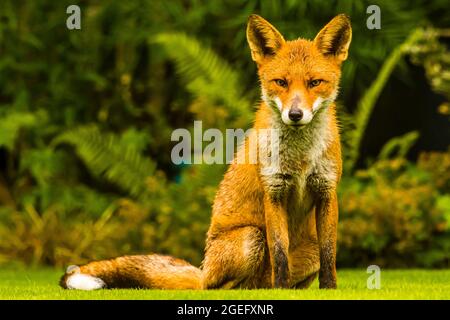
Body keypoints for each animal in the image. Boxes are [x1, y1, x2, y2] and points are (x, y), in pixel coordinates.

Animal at [59, 14, 354, 290]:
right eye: (281, 82)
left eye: (315, 82)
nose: (295, 114)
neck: (300, 159)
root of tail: (204, 270)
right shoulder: (274, 192)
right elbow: (280, 252)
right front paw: (281, 291)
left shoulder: (327, 192)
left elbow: (330, 254)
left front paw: (329, 289)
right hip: (250, 238)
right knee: (219, 287)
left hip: (308, 247)